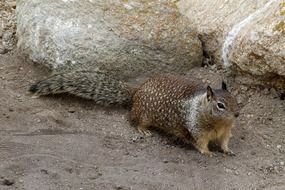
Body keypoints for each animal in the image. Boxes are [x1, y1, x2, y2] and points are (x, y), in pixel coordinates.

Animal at [28, 71, 239, 156]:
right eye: (220, 105)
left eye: (235, 99)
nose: (237, 115)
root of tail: (136, 91)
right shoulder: (196, 129)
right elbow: (200, 143)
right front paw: (208, 152)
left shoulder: (225, 132)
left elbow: (224, 142)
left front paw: (228, 150)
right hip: (144, 115)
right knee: (133, 120)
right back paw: (143, 130)